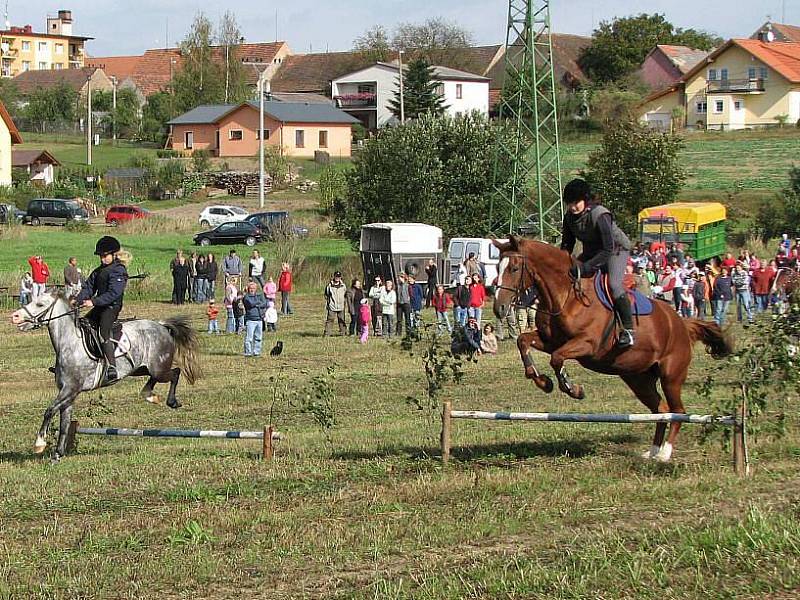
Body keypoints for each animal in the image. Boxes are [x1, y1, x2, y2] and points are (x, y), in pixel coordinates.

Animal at [10, 290, 200, 460]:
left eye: (40, 304)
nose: (15, 316)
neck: (69, 343)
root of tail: (161, 325)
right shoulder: (68, 394)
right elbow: (64, 423)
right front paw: (58, 454)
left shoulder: (71, 390)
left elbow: (49, 411)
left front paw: (39, 443)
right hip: (142, 369)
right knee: (156, 378)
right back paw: (149, 395)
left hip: (158, 368)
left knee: (175, 373)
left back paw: (171, 401)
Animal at [490, 237, 736, 462]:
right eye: (497, 267)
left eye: (513, 268)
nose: (499, 308)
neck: (565, 295)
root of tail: (681, 323)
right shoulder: (550, 340)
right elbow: (523, 341)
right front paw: (543, 381)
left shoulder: (587, 344)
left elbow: (557, 359)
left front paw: (572, 389)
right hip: (639, 379)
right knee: (661, 410)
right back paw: (652, 451)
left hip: (671, 376)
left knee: (678, 411)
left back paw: (665, 453)